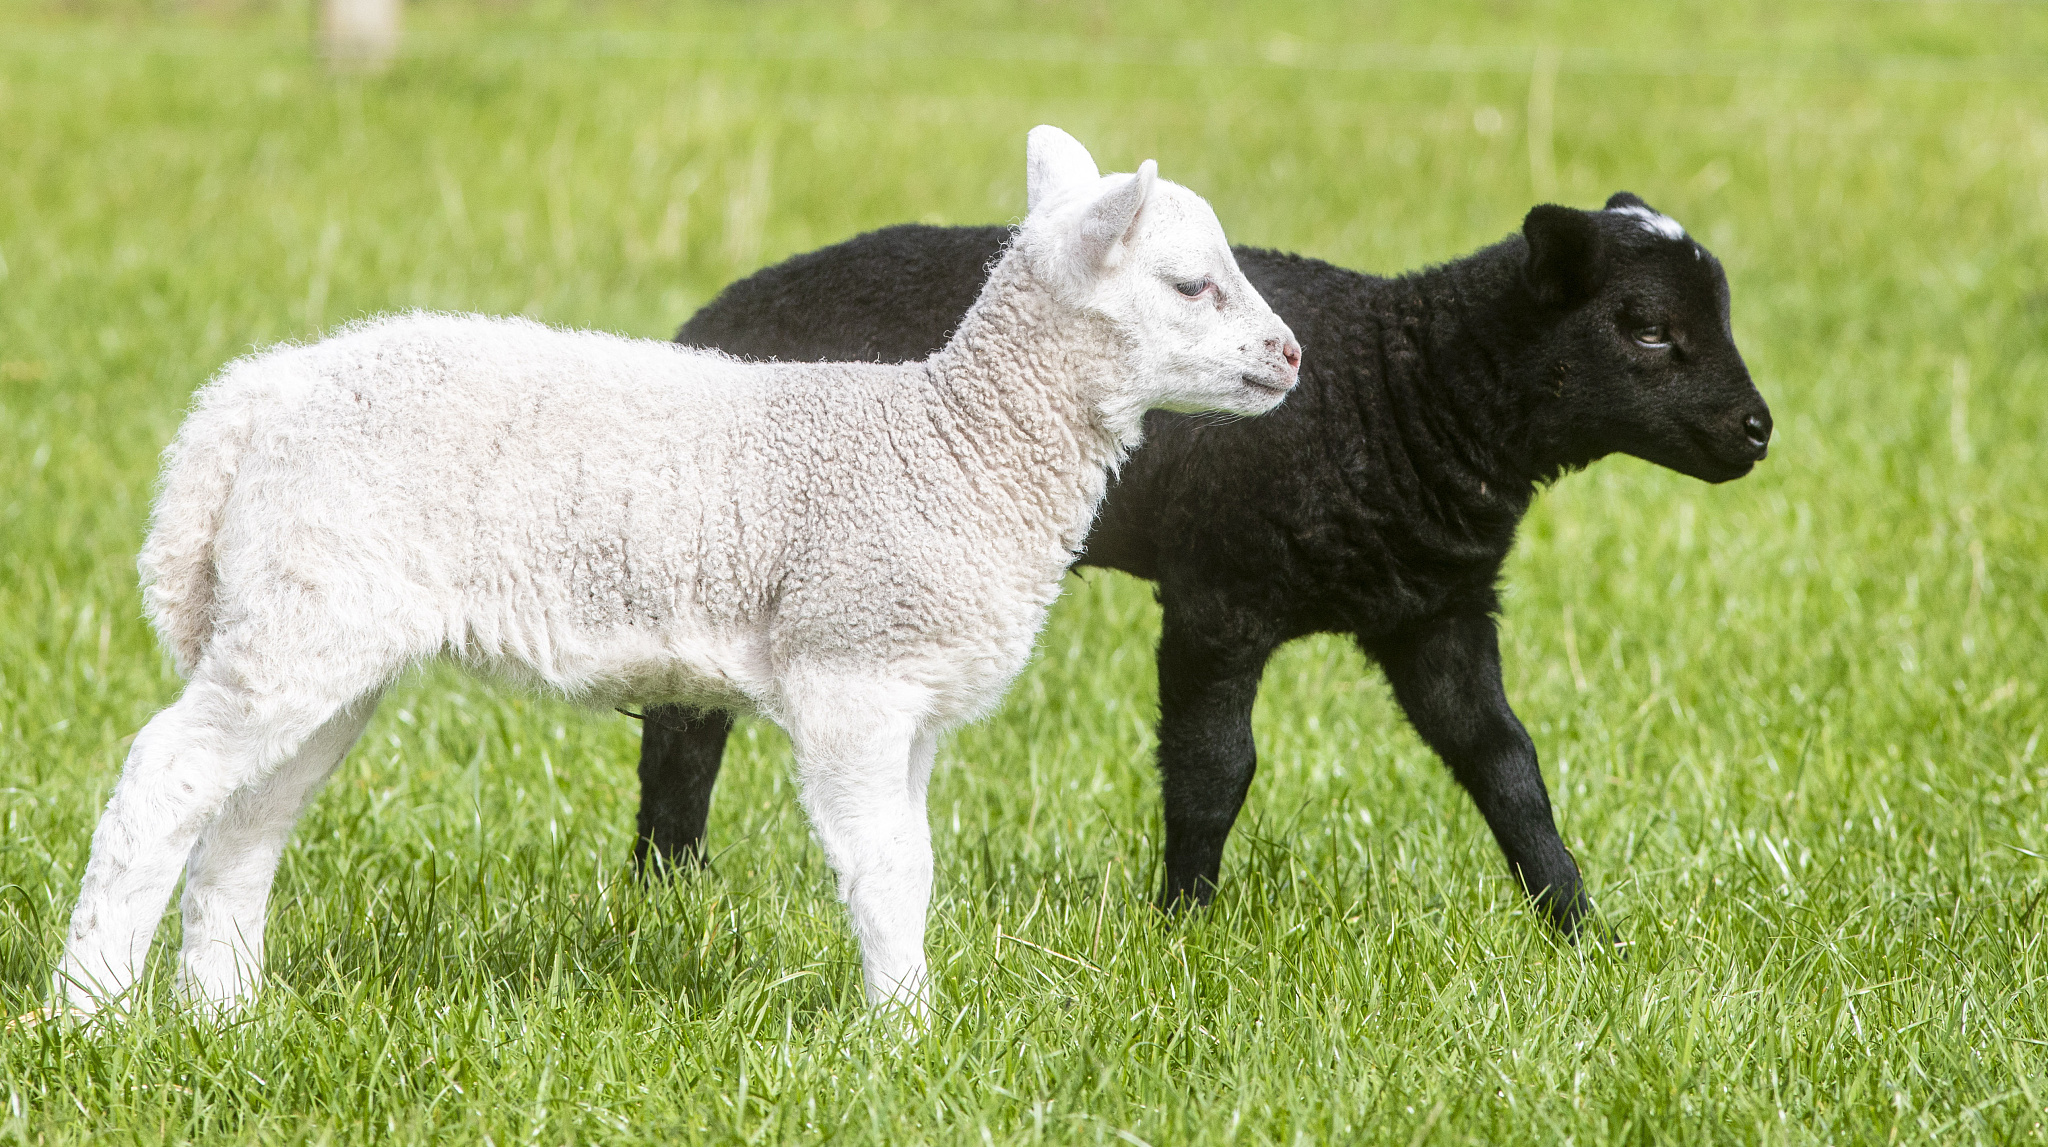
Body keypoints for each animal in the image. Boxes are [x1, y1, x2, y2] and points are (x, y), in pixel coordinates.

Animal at [54, 125, 1302, 1018]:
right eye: (1191, 285)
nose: (1289, 355)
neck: (952, 444)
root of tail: (254, 397)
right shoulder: (849, 670)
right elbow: (882, 870)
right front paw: (902, 1036)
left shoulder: (909, 698)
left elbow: (916, 864)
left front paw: (913, 1017)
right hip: (304, 612)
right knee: (164, 775)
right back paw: (89, 1013)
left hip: (320, 622)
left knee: (245, 816)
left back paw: (222, 1014)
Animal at [629, 194, 1773, 938]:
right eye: (1647, 329)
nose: (1756, 431)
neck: (1401, 390)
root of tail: (705, 320)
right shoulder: (1220, 592)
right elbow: (1215, 767)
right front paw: (1183, 926)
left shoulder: (1432, 610)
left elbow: (1504, 762)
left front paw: (1577, 925)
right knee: (682, 734)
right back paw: (663, 888)